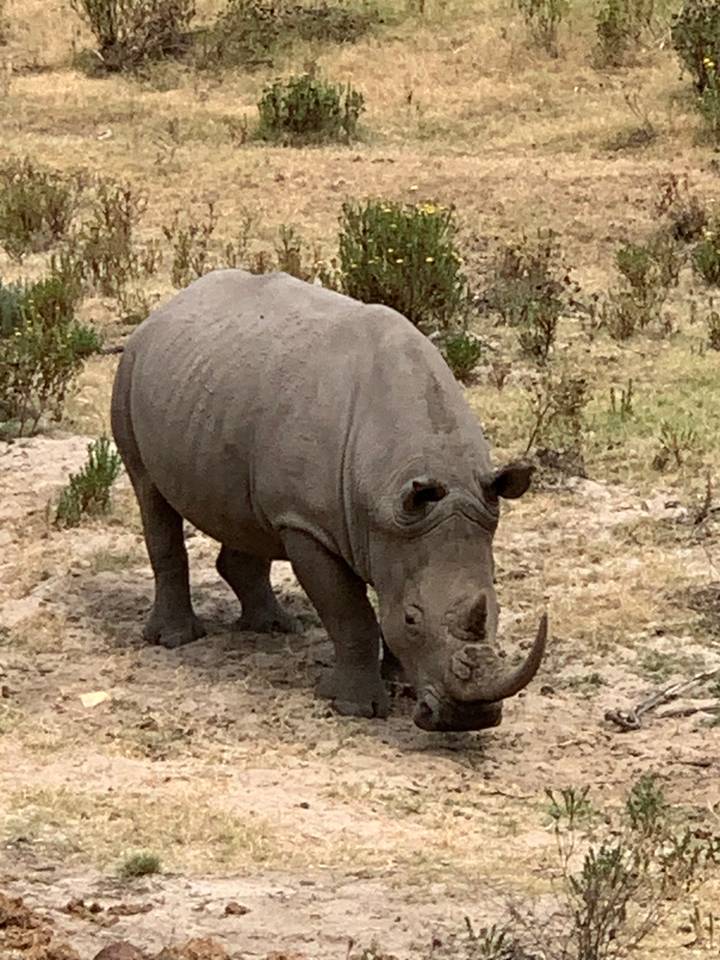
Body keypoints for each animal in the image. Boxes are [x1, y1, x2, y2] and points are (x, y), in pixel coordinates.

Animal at [111, 269, 547, 732]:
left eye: (497, 610)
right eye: (413, 618)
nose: (468, 719)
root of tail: (167, 306)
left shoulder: (397, 526)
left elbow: (383, 598)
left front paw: (400, 681)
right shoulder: (308, 523)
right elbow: (350, 612)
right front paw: (356, 707)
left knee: (245, 512)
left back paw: (273, 628)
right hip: (131, 368)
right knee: (150, 492)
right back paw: (175, 640)